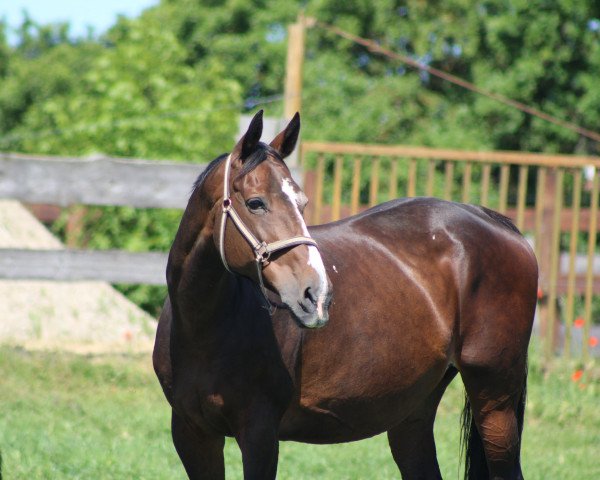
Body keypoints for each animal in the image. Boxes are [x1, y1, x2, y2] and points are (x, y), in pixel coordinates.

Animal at [152, 109, 536, 480]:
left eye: (302, 203)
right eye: (256, 203)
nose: (316, 294)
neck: (205, 327)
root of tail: (497, 222)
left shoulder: (260, 434)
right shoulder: (191, 434)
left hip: (495, 400)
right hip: (413, 411)